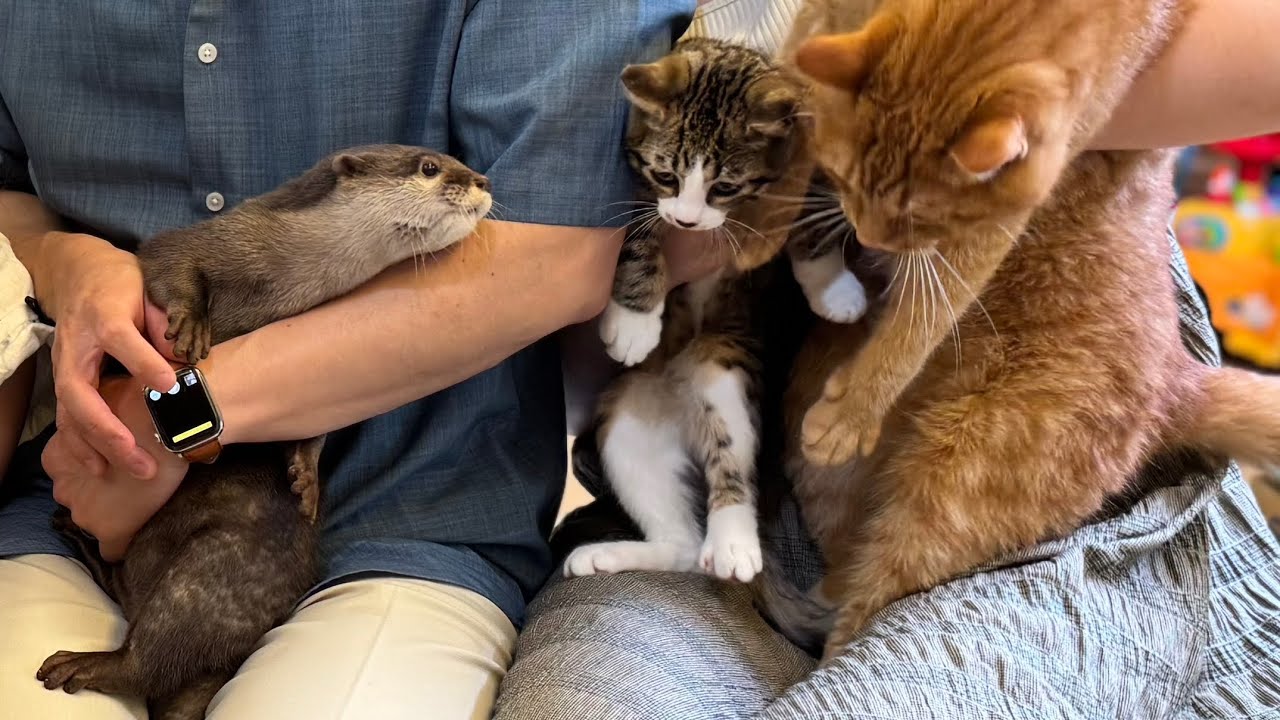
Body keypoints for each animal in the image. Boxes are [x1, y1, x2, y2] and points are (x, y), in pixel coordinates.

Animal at [35, 144, 491, 720]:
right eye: (430, 167)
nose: (482, 180)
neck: (286, 278)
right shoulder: (215, 240)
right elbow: (168, 260)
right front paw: (190, 323)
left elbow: (314, 426)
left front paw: (306, 475)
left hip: (215, 568)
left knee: (148, 648)